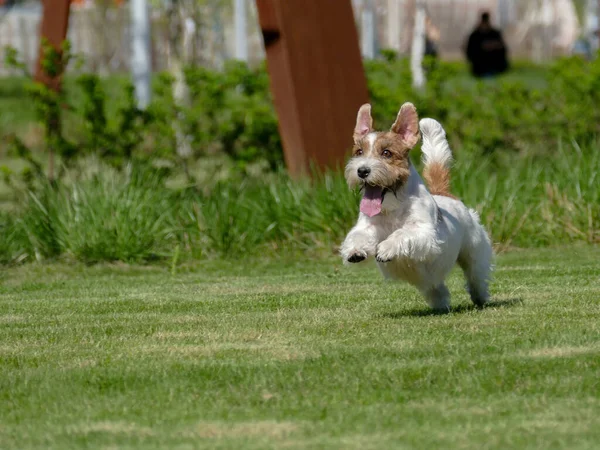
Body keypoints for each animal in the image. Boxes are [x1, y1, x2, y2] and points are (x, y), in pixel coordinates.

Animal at [340, 103, 494, 312]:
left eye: (386, 153)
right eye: (359, 152)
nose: (362, 170)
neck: (393, 206)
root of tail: (443, 193)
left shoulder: (424, 232)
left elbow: (402, 233)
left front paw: (386, 247)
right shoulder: (368, 227)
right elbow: (359, 235)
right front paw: (355, 251)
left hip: (474, 251)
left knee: (476, 275)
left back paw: (480, 297)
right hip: (430, 279)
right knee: (436, 287)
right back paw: (440, 303)